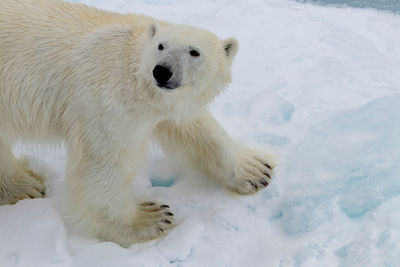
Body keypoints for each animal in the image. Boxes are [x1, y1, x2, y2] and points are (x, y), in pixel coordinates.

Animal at [0, 0, 276, 248]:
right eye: (161, 46)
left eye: (194, 51)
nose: (162, 71)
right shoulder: (106, 101)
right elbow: (102, 164)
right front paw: (149, 219)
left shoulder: (167, 102)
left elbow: (192, 127)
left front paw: (255, 170)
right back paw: (25, 187)